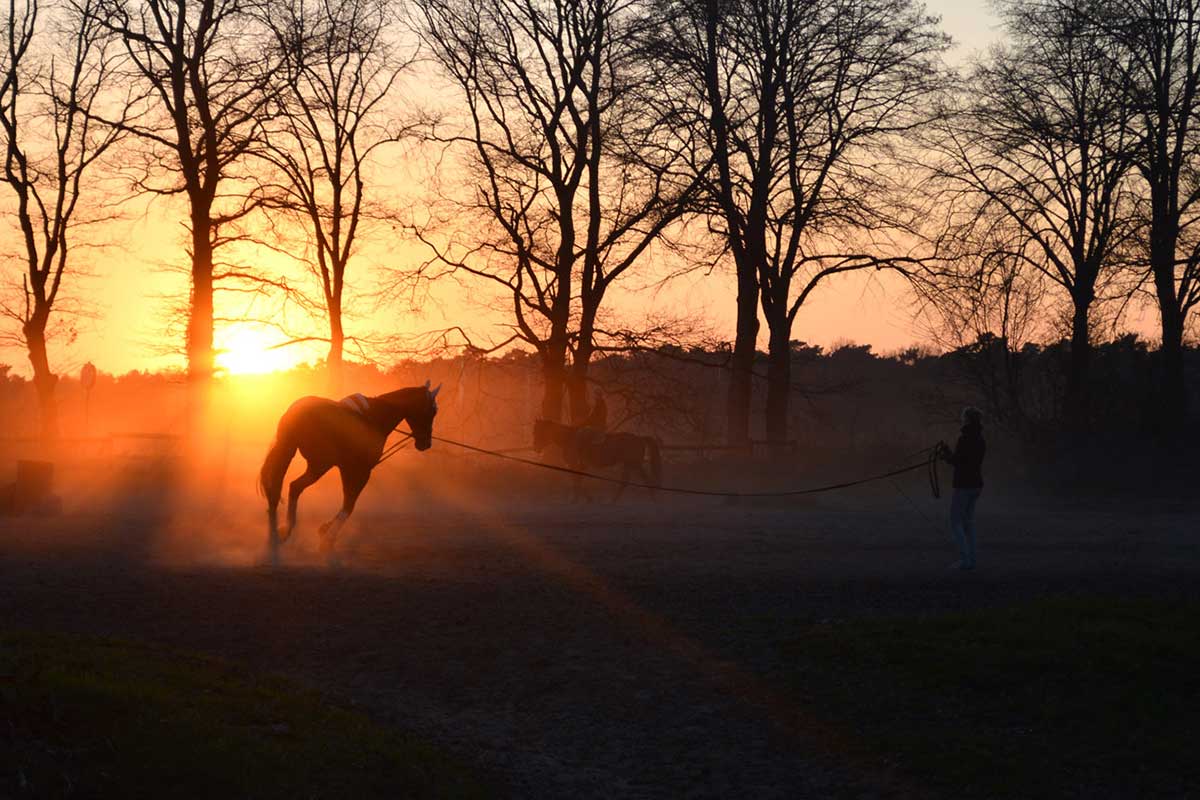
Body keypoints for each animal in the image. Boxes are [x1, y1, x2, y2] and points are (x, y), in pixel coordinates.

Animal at [258, 381, 441, 563]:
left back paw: (277, 534)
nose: (426, 444)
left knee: (285, 489)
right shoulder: (359, 470)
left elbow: (348, 502)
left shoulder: (347, 468)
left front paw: (325, 529)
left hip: (300, 457)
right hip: (319, 465)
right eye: (432, 411)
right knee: (295, 487)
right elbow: (349, 504)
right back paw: (283, 533)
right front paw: (328, 539)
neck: (374, 416)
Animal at [535, 419, 667, 501]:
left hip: (634, 463)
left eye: (538, 432)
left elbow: (577, 481)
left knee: (644, 480)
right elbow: (579, 480)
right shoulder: (579, 466)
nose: (536, 448)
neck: (569, 439)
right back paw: (614, 501)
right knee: (627, 482)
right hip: (630, 464)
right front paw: (586, 498)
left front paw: (578, 499)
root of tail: (639, 438)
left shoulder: (575, 465)